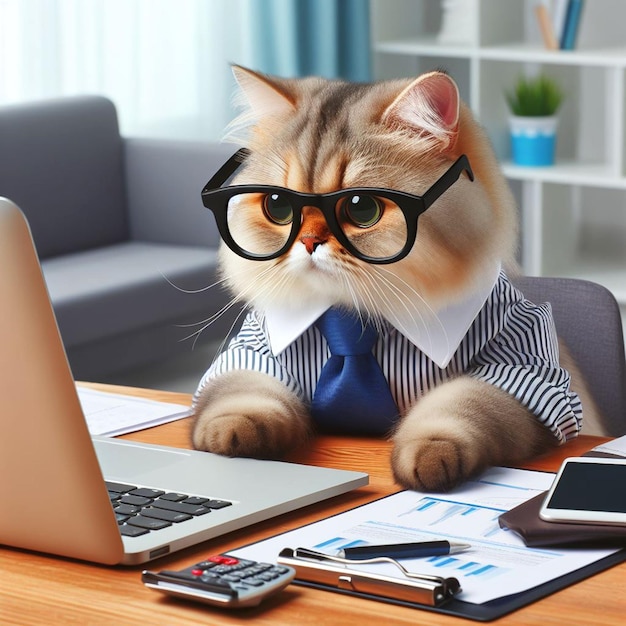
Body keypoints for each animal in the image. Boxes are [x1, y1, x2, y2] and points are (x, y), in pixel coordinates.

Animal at [189, 66, 588, 490]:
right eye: (278, 207)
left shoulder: (522, 369)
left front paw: (430, 456)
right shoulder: (252, 352)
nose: (309, 241)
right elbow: (243, 396)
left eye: (362, 208)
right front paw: (230, 434)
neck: (356, 317)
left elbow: (457, 407)